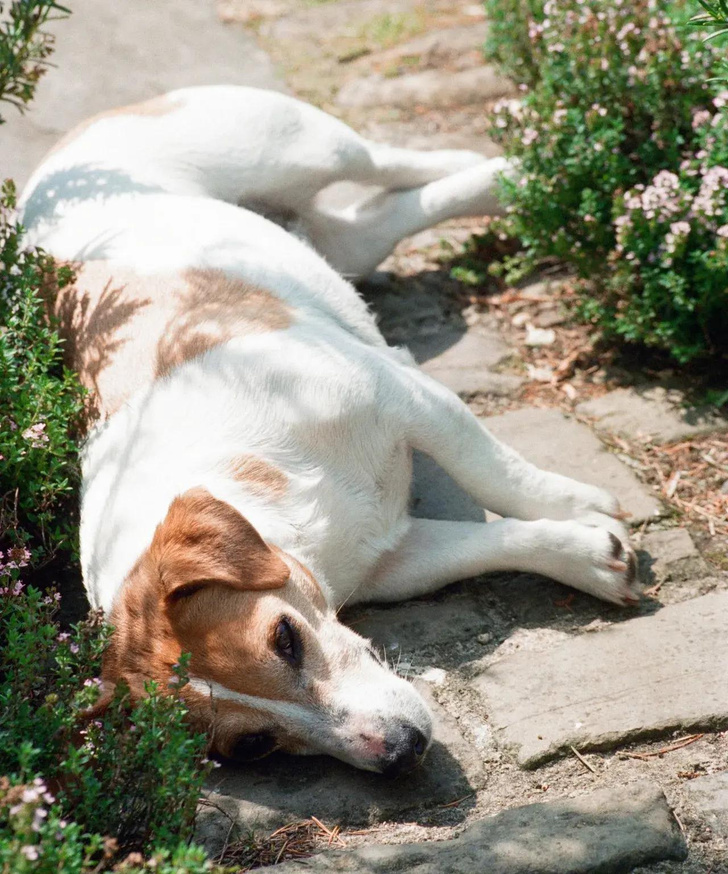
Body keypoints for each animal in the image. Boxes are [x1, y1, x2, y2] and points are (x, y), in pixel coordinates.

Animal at [21, 85, 636, 772]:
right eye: (254, 745)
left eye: (284, 638)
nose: (402, 751)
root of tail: (62, 162)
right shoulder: (397, 561)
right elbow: (488, 547)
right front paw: (592, 557)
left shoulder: (408, 396)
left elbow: (496, 473)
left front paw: (582, 502)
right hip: (341, 240)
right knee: (384, 217)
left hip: (302, 147)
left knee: (395, 163)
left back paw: (515, 164)